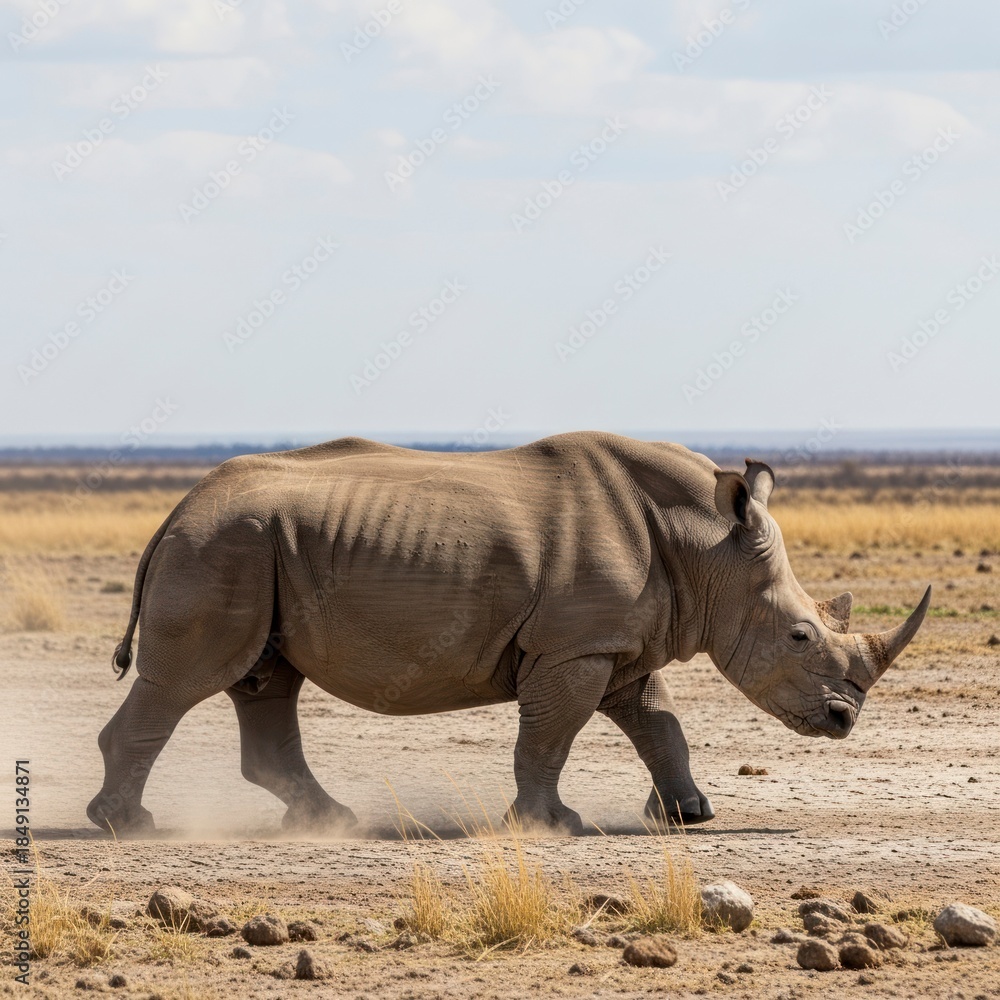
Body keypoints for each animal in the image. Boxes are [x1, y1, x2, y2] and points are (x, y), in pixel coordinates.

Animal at [88, 432, 930, 836]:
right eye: (800, 637)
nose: (843, 720)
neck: (706, 549)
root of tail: (178, 507)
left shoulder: (615, 643)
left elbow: (659, 722)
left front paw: (690, 815)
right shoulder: (574, 647)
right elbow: (549, 737)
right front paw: (553, 825)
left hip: (254, 547)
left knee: (266, 682)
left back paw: (330, 822)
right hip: (223, 546)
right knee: (184, 682)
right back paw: (131, 827)